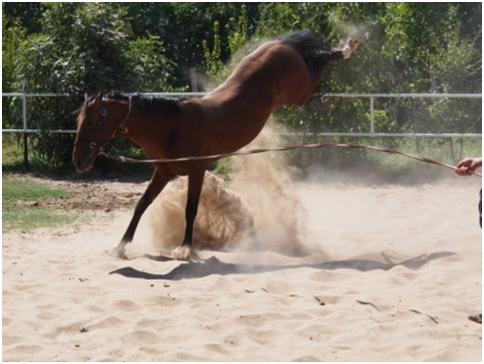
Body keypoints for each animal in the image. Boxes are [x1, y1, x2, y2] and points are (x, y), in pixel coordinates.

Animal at [73, 30, 360, 258]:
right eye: (79, 120)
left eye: (92, 122)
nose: (78, 161)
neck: (172, 126)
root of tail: (281, 44)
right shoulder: (163, 172)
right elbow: (142, 204)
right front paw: (119, 246)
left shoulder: (197, 170)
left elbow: (190, 209)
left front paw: (184, 249)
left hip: (298, 91)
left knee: (321, 65)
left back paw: (347, 48)